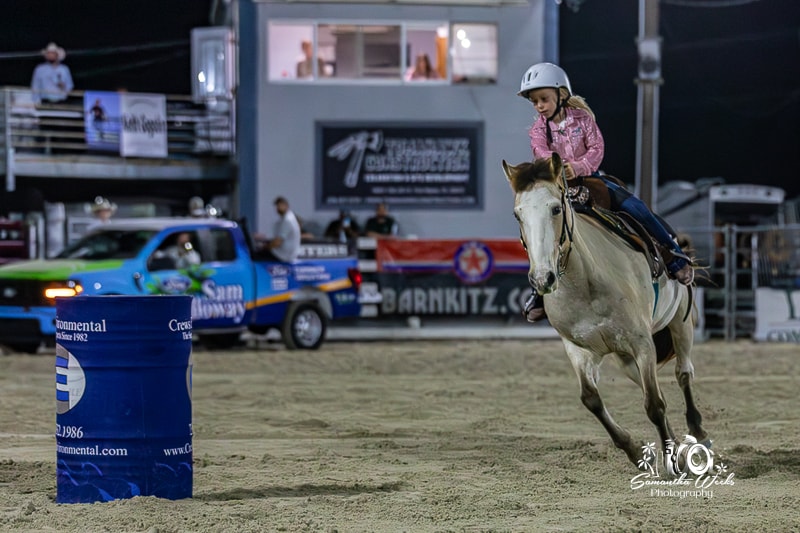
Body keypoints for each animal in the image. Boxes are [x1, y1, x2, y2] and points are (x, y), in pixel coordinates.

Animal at [502, 153, 709, 473]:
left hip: (680, 322)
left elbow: (654, 405)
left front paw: (671, 462)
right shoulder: (578, 348)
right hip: (625, 358)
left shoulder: (641, 341)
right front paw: (636, 452)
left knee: (683, 374)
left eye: (556, 208)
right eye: (517, 215)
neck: (586, 282)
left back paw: (698, 435)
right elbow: (592, 400)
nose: (542, 279)